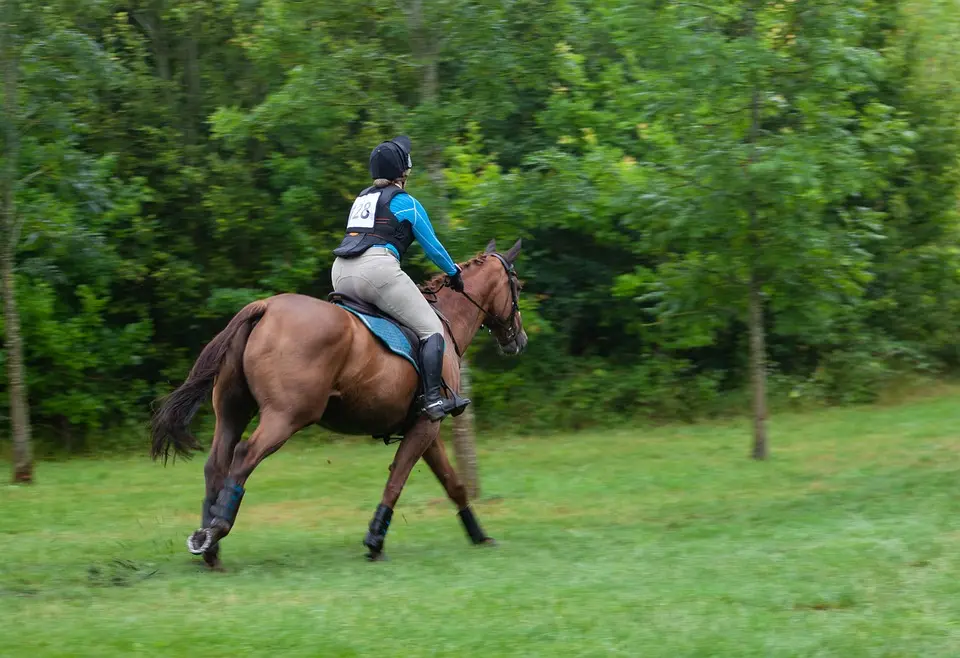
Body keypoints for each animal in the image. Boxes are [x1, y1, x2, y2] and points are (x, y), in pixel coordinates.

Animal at [150, 238, 524, 568]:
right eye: (517, 286)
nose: (519, 339)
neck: (446, 320)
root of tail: (265, 307)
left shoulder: (425, 429)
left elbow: (453, 484)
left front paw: (479, 535)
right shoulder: (427, 424)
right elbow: (397, 480)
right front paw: (375, 542)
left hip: (232, 412)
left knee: (216, 463)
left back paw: (207, 545)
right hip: (286, 416)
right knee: (243, 457)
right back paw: (217, 530)